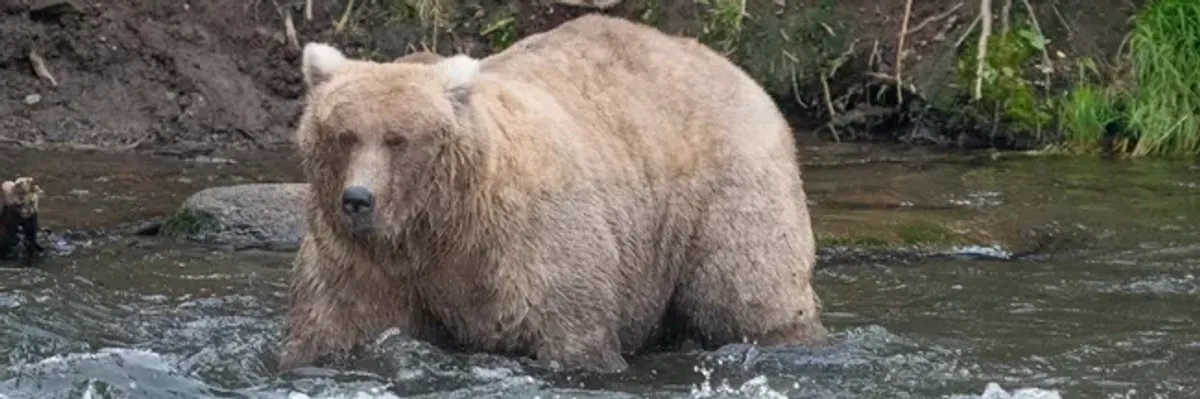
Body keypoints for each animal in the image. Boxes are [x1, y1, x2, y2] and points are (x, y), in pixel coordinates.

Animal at [277, 13, 830, 374]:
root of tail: (733, 68)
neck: (439, 225)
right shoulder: (363, 261)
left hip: (726, 190)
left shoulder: (528, 243)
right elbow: (335, 325)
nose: (358, 199)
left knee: (748, 293)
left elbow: (570, 329)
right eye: (343, 135)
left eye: (398, 139)